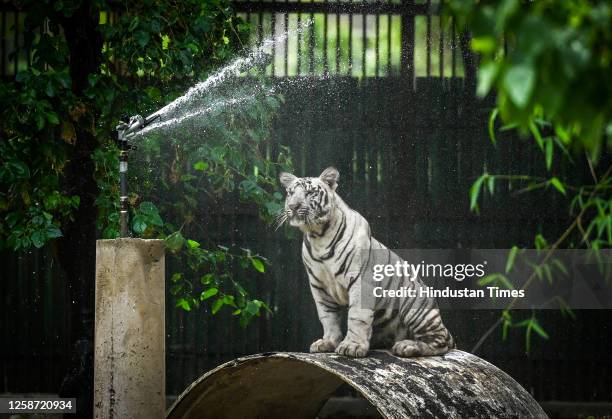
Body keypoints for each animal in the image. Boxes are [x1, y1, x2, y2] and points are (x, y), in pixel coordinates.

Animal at [278, 167, 454, 358]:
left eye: (310, 193)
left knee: (440, 341)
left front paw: (352, 346)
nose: (293, 206)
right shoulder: (319, 286)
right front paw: (328, 342)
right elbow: (327, 317)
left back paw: (407, 346)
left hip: (415, 302)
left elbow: (357, 316)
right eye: (290, 193)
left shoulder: (360, 279)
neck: (318, 236)